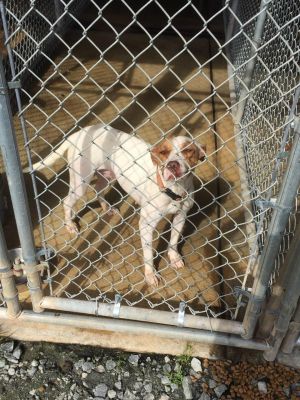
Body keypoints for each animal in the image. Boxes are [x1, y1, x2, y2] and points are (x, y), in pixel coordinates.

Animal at [31, 123, 206, 286]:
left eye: (188, 151)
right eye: (163, 153)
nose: (172, 165)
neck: (175, 190)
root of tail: (79, 132)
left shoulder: (181, 216)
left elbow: (173, 241)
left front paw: (174, 257)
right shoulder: (146, 225)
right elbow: (149, 254)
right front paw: (151, 274)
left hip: (108, 175)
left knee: (97, 189)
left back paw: (107, 208)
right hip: (80, 183)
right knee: (67, 201)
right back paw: (70, 225)